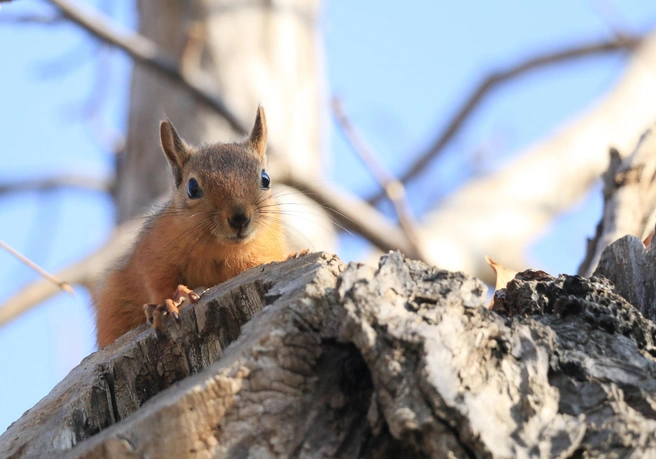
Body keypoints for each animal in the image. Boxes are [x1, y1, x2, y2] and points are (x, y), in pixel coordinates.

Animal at [93, 106, 288, 346]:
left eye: (265, 179)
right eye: (192, 188)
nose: (239, 218)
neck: (218, 249)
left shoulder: (264, 255)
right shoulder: (152, 256)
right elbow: (157, 283)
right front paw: (170, 301)